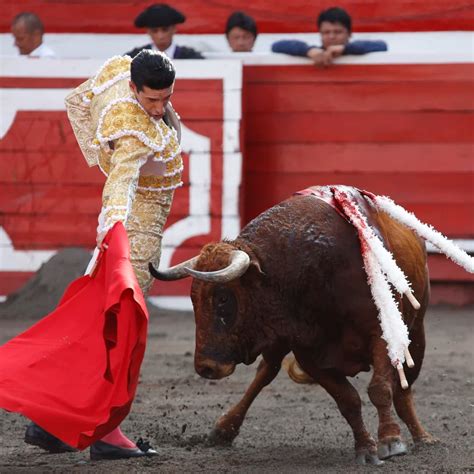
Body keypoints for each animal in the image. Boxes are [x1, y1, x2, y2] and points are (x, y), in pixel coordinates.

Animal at [151, 187, 436, 464]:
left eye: (222, 298)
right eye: (192, 299)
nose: (206, 367)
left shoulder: (383, 334)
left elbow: (380, 389)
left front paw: (391, 440)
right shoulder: (309, 353)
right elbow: (348, 400)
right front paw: (366, 448)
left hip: (416, 332)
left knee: (404, 388)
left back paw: (423, 437)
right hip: (279, 342)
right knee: (266, 371)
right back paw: (223, 430)